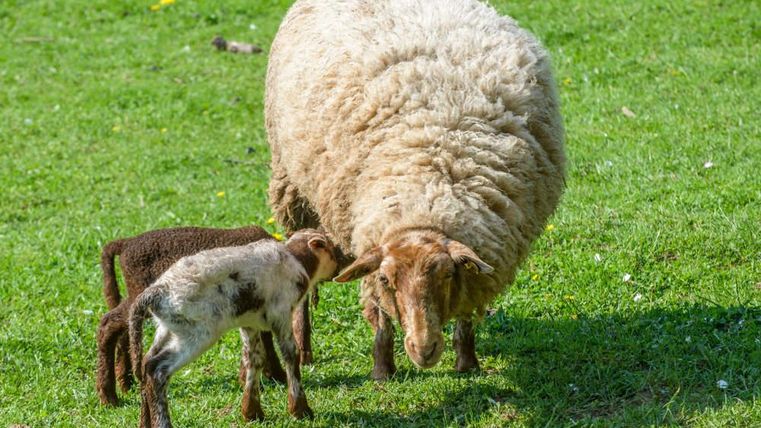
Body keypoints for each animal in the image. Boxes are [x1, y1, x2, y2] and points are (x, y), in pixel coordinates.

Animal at [96, 225, 289, 406]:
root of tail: (125, 243)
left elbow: (264, 338)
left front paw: (274, 376)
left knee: (122, 329)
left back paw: (124, 384)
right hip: (141, 292)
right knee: (109, 324)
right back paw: (109, 397)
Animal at [128, 229, 339, 427]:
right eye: (331, 249)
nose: (338, 271)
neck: (298, 261)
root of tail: (155, 292)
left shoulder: (249, 323)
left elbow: (254, 359)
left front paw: (252, 412)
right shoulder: (281, 315)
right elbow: (291, 357)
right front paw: (300, 410)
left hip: (167, 329)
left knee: (145, 364)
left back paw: (145, 422)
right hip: (196, 333)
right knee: (157, 370)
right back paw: (163, 422)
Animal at [266, 0, 566, 378]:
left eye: (447, 275)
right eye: (386, 280)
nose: (424, 351)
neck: (426, 195)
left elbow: (466, 311)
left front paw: (467, 361)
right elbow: (380, 317)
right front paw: (383, 370)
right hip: (291, 190)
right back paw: (304, 351)